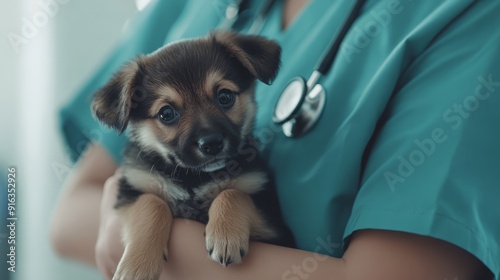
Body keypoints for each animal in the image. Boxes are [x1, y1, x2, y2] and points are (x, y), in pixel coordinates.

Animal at [91, 31, 292, 280]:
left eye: (225, 96)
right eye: (166, 113)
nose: (212, 144)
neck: (193, 177)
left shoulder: (273, 225)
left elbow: (232, 193)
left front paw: (226, 235)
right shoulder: (132, 189)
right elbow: (152, 203)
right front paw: (137, 266)